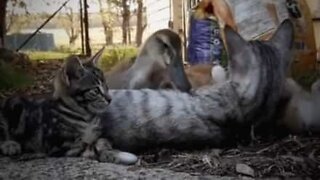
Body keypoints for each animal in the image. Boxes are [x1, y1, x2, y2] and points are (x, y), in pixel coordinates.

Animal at [0, 48, 138, 165]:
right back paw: (10, 145)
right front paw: (119, 155)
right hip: (13, 106)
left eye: (106, 86)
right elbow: (89, 146)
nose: (110, 99)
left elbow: (101, 140)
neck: (86, 116)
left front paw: (108, 146)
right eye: (96, 90)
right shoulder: (60, 144)